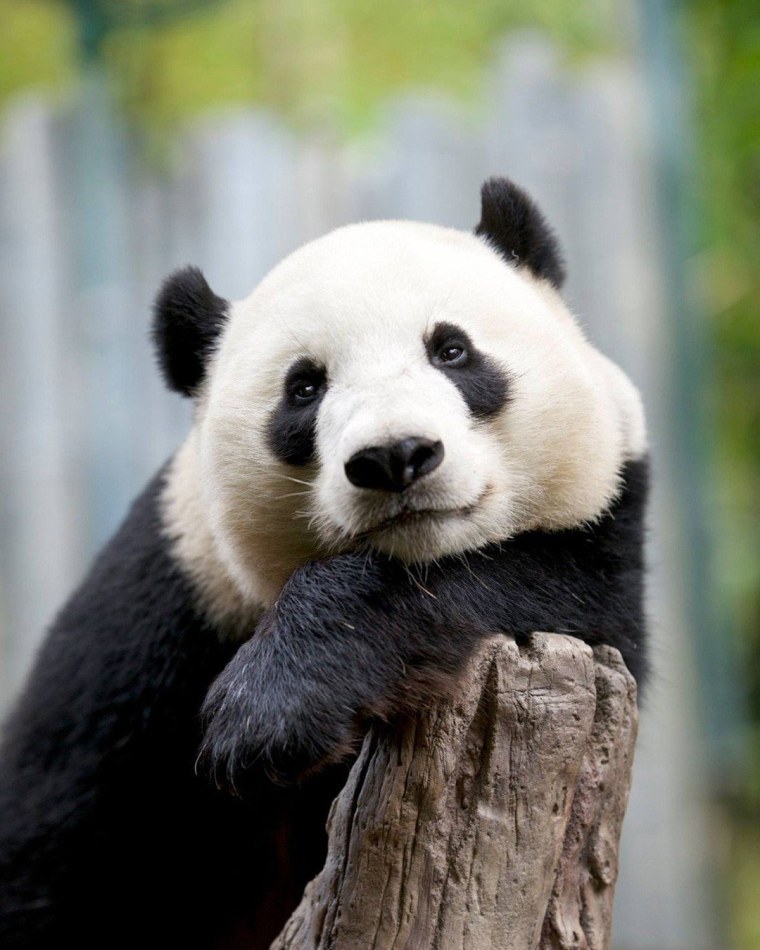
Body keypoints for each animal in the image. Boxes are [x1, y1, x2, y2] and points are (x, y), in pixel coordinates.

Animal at [0, 178, 648, 949]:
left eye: (452, 349)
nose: (395, 456)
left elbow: (545, 587)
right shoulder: (160, 612)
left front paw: (272, 710)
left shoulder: (609, 533)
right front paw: (263, 729)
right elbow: (55, 842)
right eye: (304, 387)